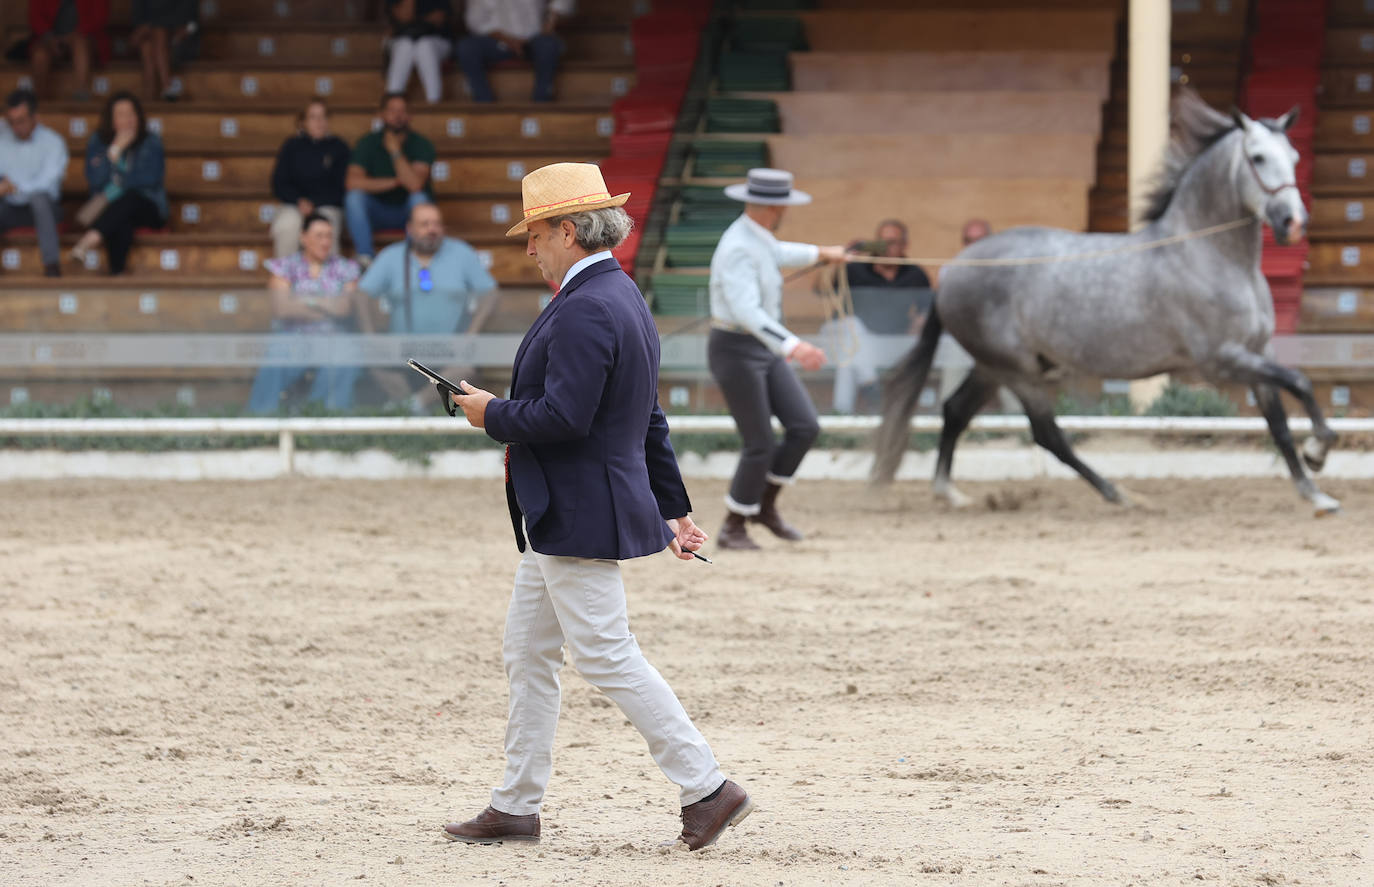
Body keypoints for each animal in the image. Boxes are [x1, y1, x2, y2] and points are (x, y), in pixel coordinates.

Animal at [873, 91, 1335, 513]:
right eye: (1258, 157)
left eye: (1293, 156)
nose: (1293, 223)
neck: (1210, 256)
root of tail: (952, 269)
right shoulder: (1223, 359)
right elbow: (1300, 382)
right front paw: (1319, 451)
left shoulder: (1258, 352)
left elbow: (1279, 423)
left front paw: (1315, 493)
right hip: (1018, 372)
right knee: (1048, 436)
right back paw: (1121, 494)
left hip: (995, 367)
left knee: (954, 411)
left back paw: (949, 492)